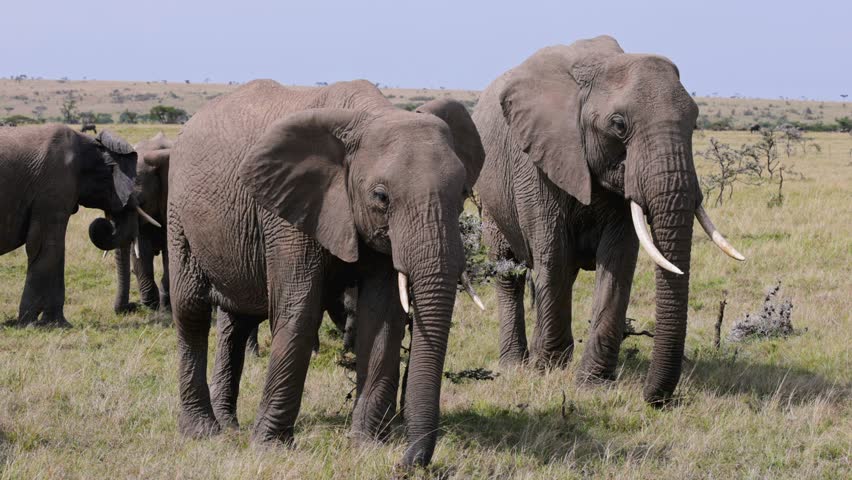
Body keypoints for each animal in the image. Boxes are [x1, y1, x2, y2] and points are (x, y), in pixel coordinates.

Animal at [0, 124, 142, 327]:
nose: (132, 307)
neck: (89, 144)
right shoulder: (55, 185)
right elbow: (45, 246)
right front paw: (29, 323)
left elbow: (57, 250)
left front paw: (55, 323)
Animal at [168, 79, 484, 467]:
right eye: (381, 197)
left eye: (464, 193)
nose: (406, 463)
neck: (367, 116)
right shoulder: (289, 213)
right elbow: (299, 311)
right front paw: (271, 447)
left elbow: (382, 321)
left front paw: (367, 445)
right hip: (179, 212)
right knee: (191, 311)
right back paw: (203, 431)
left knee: (236, 320)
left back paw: (229, 426)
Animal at [473, 36, 745, 404]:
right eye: (619, 125)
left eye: (695, 122)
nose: (654, 400)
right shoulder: (535, 162)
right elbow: (553, 255)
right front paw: (550, 369)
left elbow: (618, 263)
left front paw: (592, 382)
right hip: (490, 197)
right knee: (509, 271)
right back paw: (517, 363)